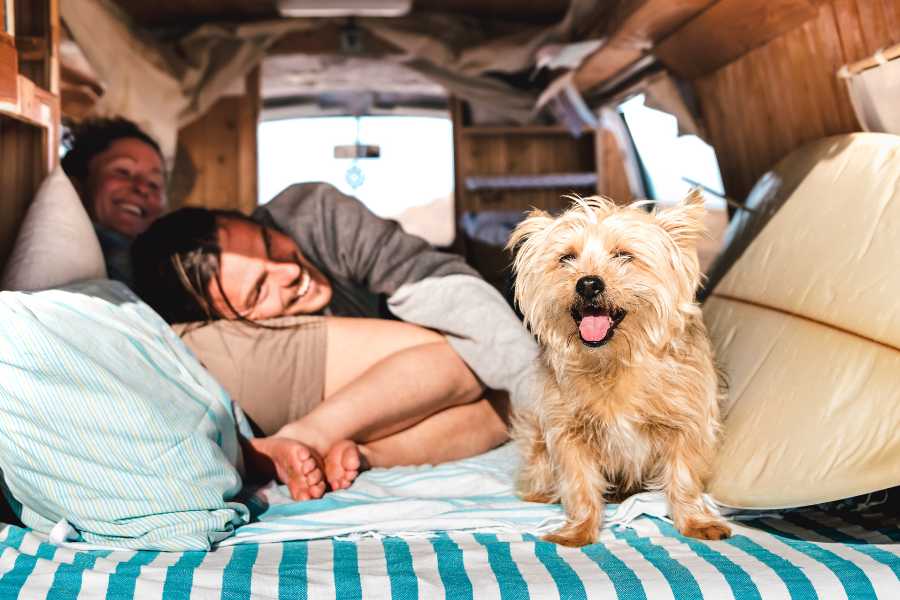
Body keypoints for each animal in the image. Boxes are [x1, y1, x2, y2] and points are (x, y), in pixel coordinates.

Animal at [506, 192, 732, 548]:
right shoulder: (569, 432)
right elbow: (579, 485)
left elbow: (683, 477)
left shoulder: (687, 424)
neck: (614, 361)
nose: (588, 284)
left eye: (624, 255)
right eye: (566, 258)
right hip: (535, 437)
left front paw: (695, 520)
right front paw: (579, 529)